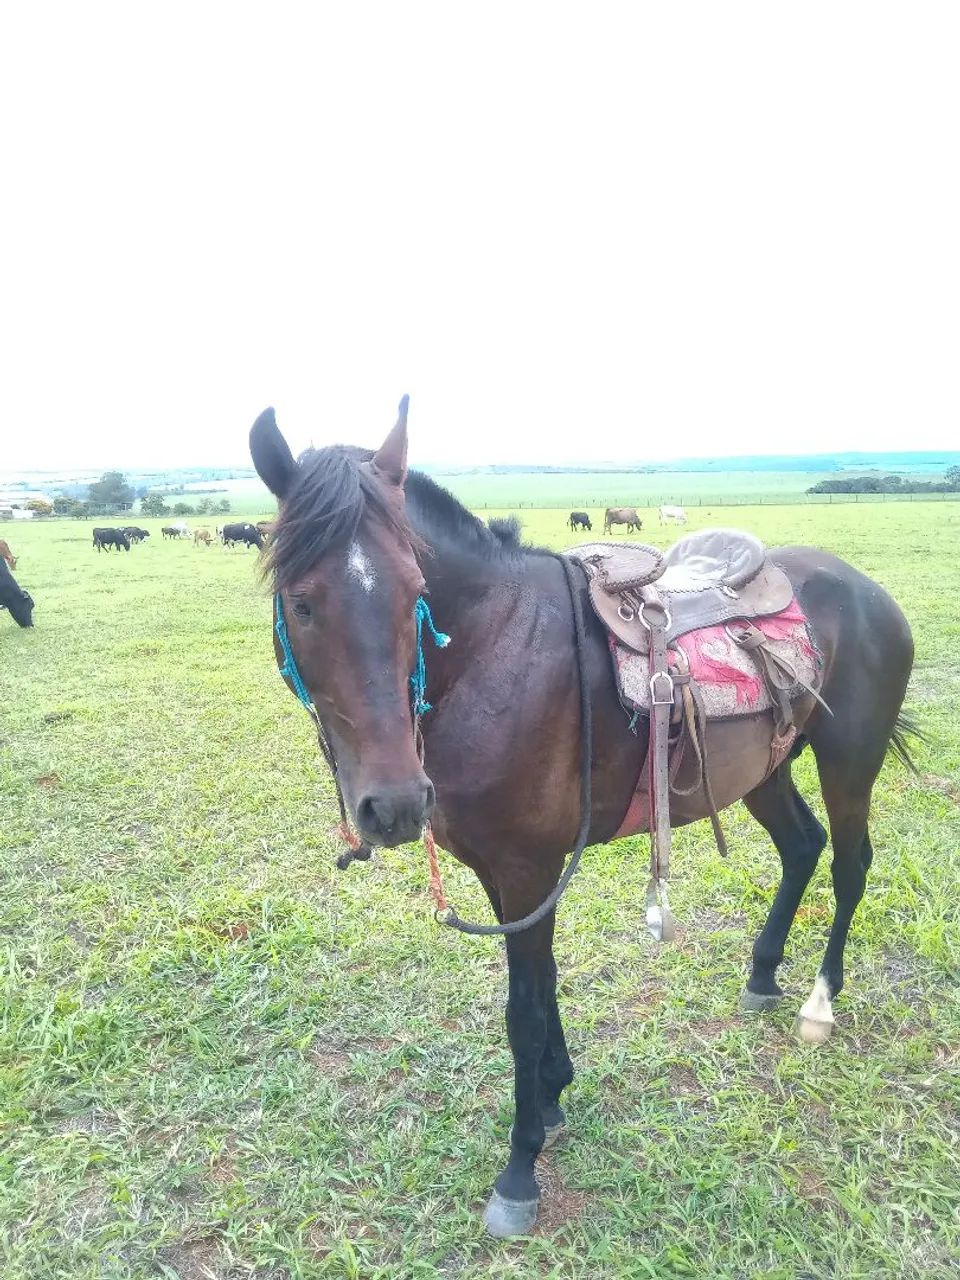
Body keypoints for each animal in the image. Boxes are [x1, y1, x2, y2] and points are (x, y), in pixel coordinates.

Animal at [249, 398, 915, 1238]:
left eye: (414, 595)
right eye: (302, 602)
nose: (394, 804)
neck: (495, 650)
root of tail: (866, 589)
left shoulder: (529, 869)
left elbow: (523, 1010)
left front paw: (520, 1164)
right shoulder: (506, 874)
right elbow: (543, 984)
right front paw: (555, 1094)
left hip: (849, 761)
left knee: (850, 864)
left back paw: (820, 1003)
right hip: (762, 769)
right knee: (803, 847)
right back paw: (762, 974)